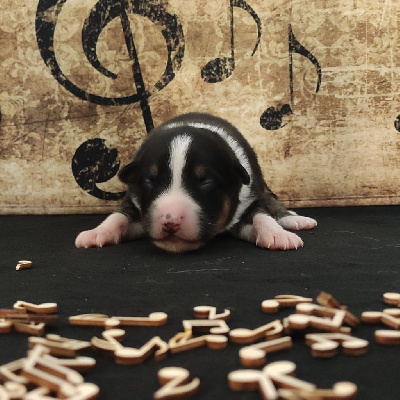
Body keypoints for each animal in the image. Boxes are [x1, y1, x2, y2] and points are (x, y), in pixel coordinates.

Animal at [75, 113, 317, 253]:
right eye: (149, 180)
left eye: (205, 182)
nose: (170, 221)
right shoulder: (139, 208)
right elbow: (119, 216)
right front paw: (97, 232)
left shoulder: (247, 199)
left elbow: (261, 215)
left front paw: (277, 235)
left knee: (271, 203)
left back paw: (295, 220)